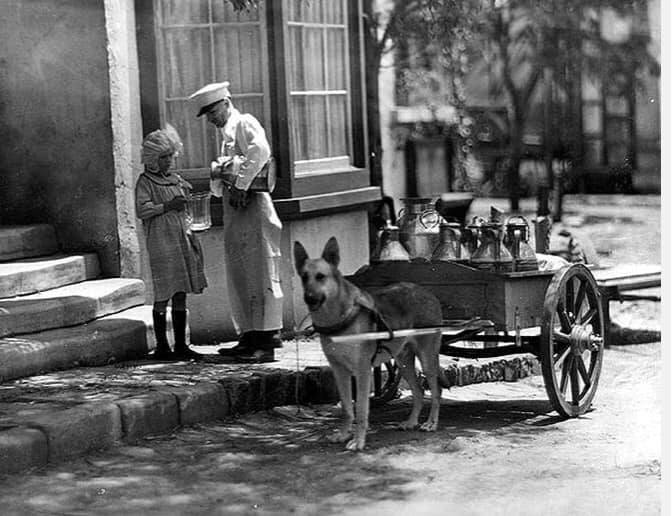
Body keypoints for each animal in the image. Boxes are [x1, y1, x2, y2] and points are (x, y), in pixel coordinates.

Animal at [296, 238, 446, 452]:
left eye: (320, 277)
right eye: (304, 277)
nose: (309, 298)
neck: (340, 319)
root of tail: (427, 291)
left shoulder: (362, 371)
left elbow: (360, 410)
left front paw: (358, 441)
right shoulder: (339, 371)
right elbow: (346, 408)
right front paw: (343, 434)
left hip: (427, 359)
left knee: (436, 391)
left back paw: (431, 423)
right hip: (403, 362)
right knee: (419, 391)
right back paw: (411, 422)